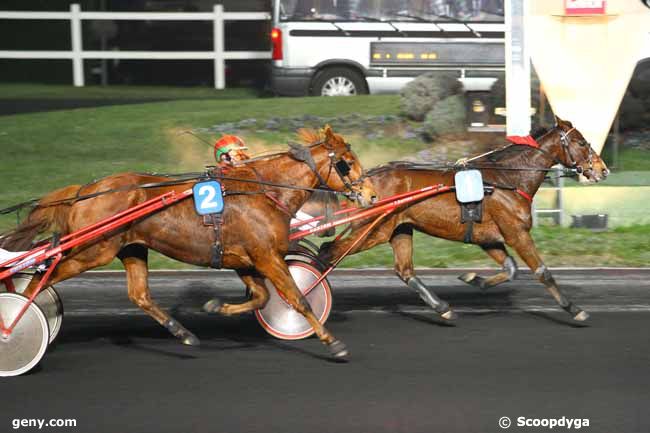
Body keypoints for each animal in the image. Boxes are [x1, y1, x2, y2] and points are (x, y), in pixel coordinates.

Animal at [0, 125, 372, 358]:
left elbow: (262, 297)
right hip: (92, 251)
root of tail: (85, 191)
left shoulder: (246, 260)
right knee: (40, 277)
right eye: (347, 163)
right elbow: (298, 298)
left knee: (139, 295)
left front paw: (216, 307)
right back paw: (15, 318)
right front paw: (332, 342)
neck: (263, 190)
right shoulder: (266, 256)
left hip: (131, 248)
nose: (369, 194)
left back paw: (183, 333)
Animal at [318, 117, 608, 320]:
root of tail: (364, 182)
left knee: (404, 270)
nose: (603, 170)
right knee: (330, 251)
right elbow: (542, 272)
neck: (508, 179)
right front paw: (574, 309)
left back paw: (441, 307)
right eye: (582, 143)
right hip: (373, 230)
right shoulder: (517, 233)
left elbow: (510, 269)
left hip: (399, 229)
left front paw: (473, 279)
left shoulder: (488, 238)